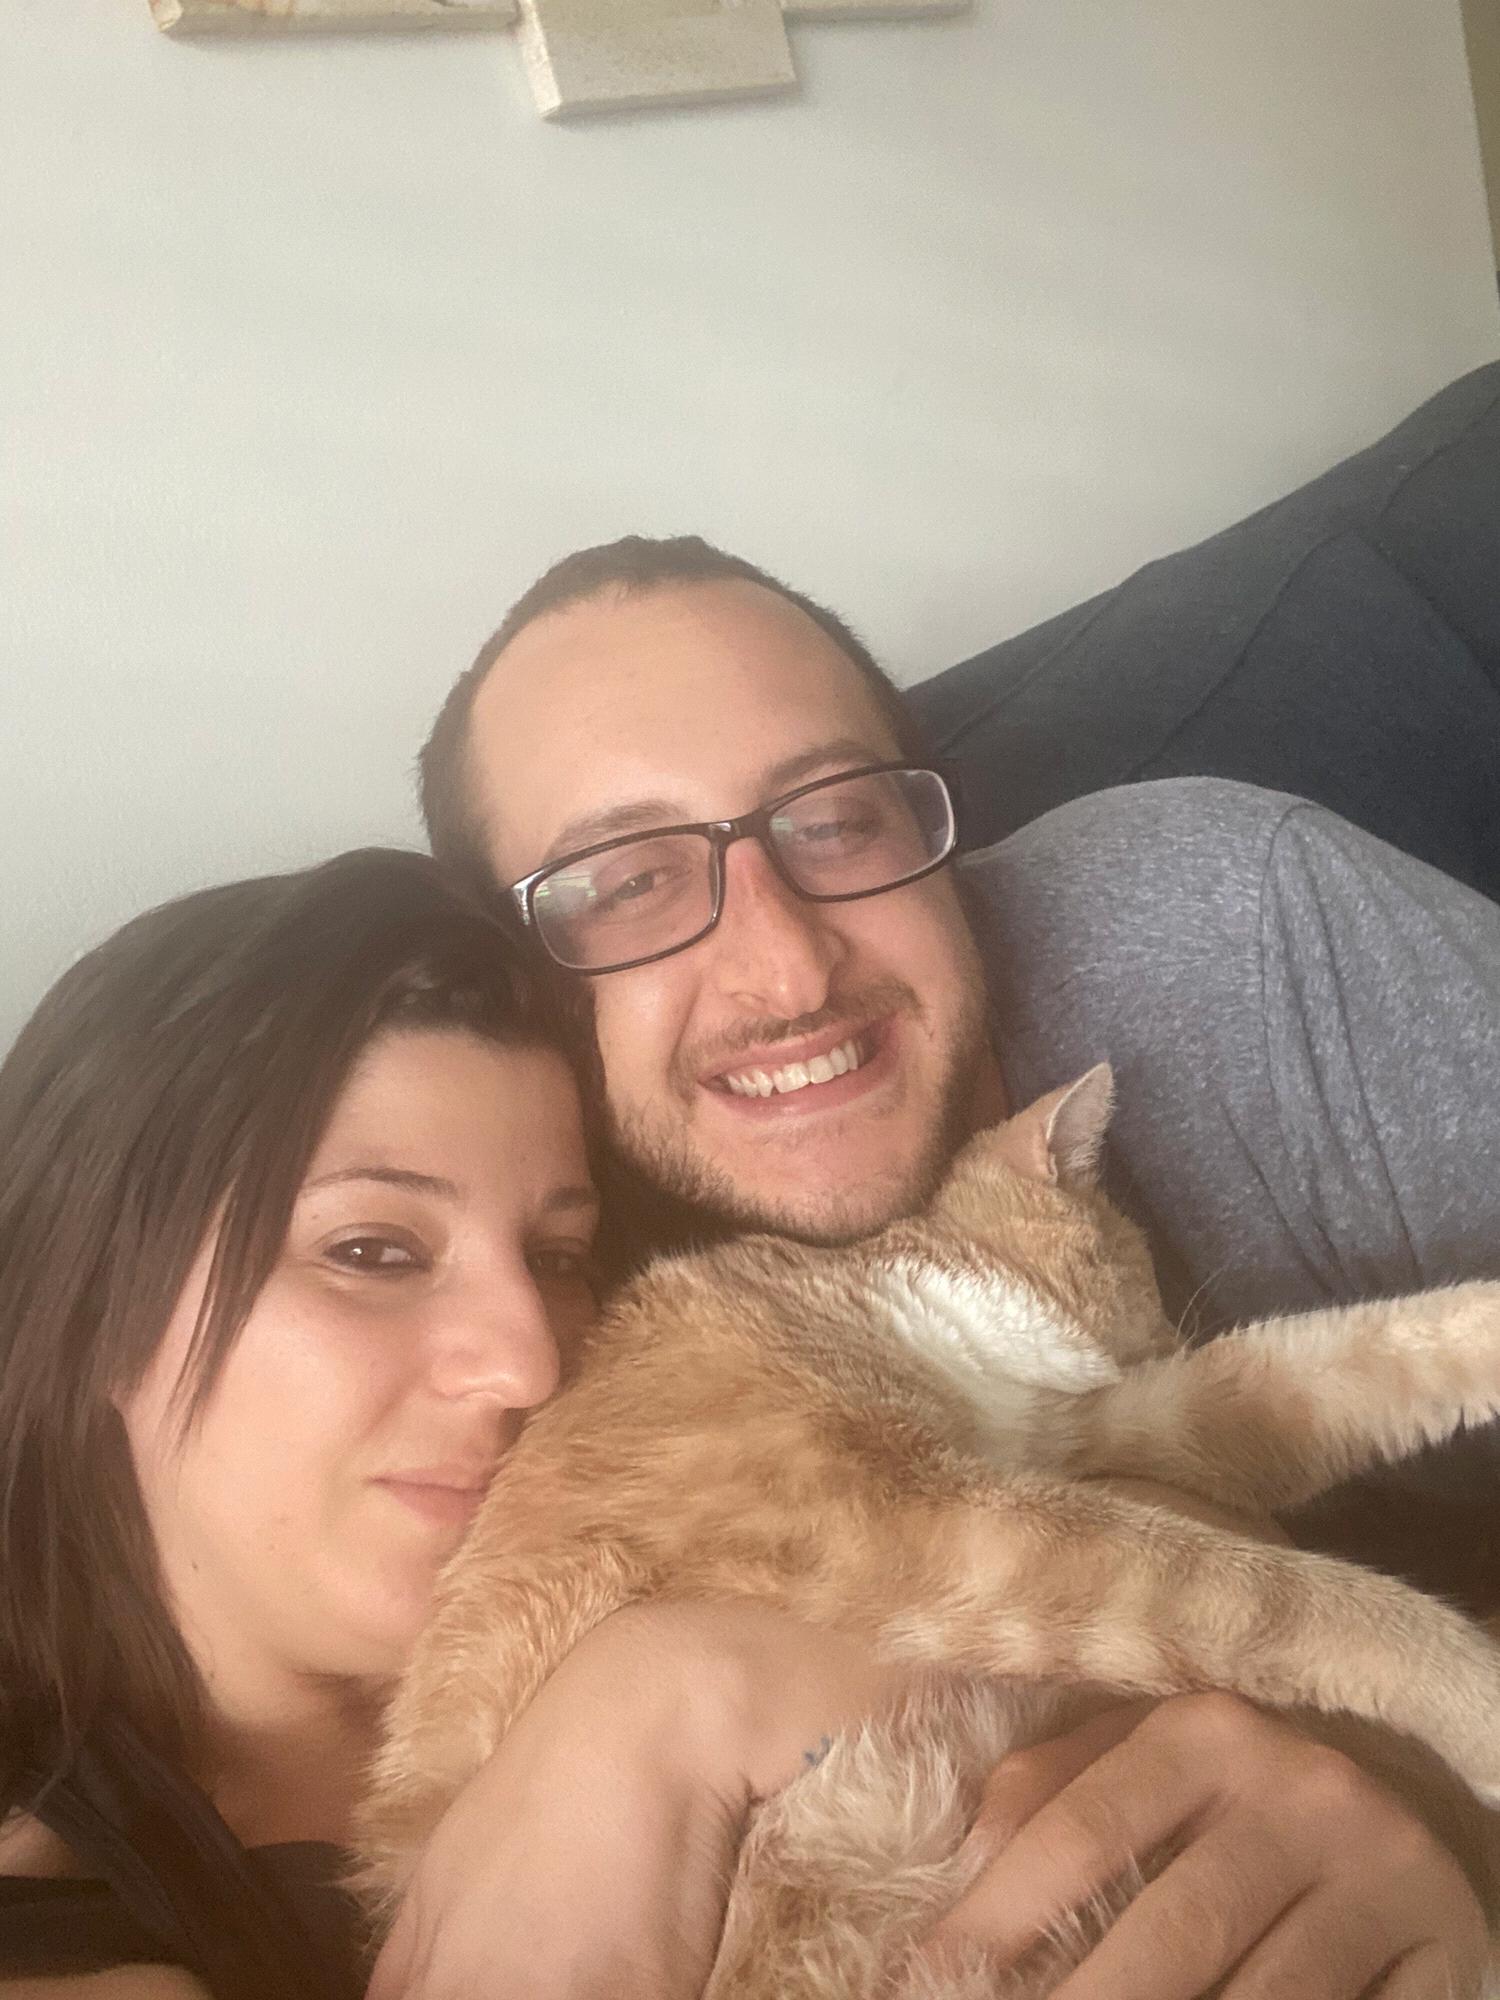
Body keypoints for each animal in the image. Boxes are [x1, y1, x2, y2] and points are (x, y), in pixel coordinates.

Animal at [355, 1065, 1500, 1995]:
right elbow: (1276, 1592)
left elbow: (1329, 1363)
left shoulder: (1097, 1431)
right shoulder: (918, 1518)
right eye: (1138, 1262)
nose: (1167, 1329)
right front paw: (1478, 1702)